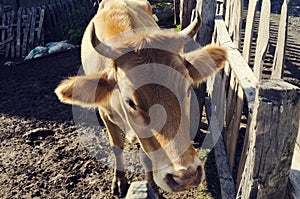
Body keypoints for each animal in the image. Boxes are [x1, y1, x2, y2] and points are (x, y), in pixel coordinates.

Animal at [55, 0, 226, 197]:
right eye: (130, 101)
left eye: (186, 90)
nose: (186, 176)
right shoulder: (105, 113)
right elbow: (116, 146)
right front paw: (119, 181)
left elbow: (146, 156)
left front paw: (151, 186)